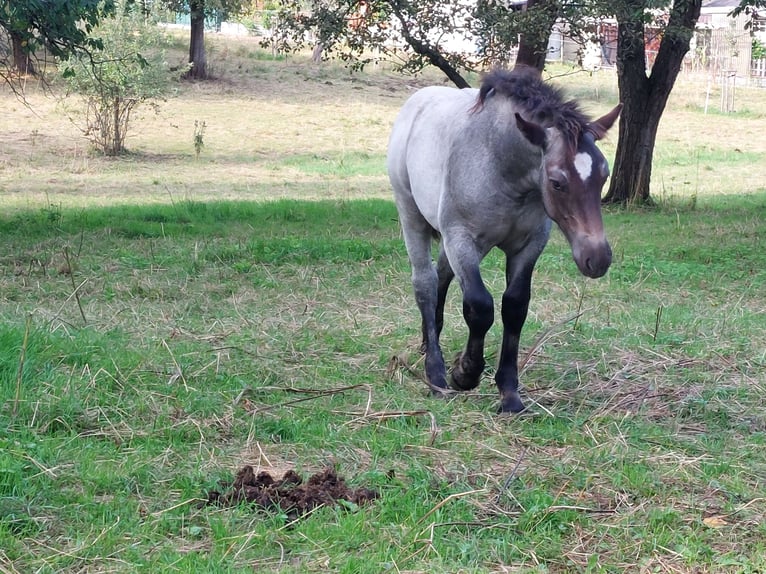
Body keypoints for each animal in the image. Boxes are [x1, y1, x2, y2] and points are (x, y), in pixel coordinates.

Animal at [387, 68, 621, 413]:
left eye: (604, 175)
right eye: (557, 182)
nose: (597, 258)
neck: (499, 163)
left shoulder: (529, 245)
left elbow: (515, 306)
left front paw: (510, 395)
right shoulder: (462, 240)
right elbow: (480, 307)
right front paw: (464, 373)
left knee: (441, 276)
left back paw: (428, 343)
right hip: (412, 215)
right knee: (425, 284)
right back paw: (436, 373)